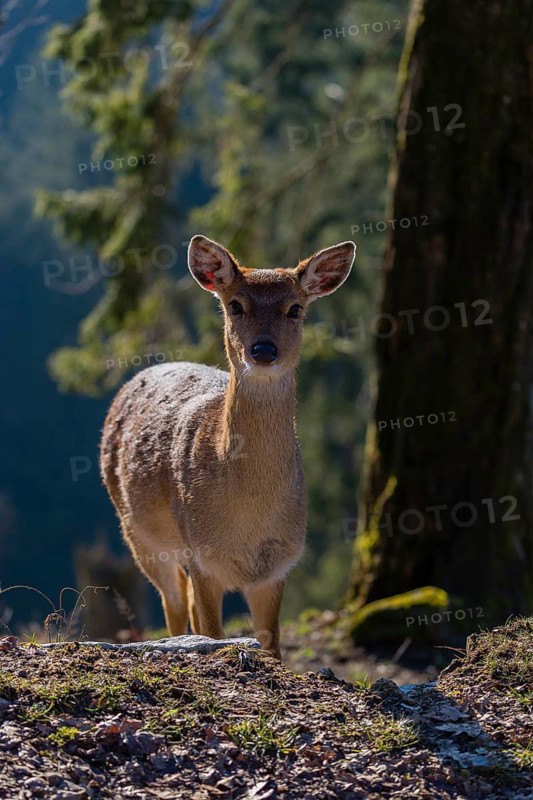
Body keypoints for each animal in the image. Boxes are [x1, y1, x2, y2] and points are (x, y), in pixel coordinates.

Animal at [100, 235, 356, 659]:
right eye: (235, 305)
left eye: (295, 308)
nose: (263, 350)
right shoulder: (202, 555)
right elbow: (212, 633)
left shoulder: (278, 565)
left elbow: (272, 645)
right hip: (137, 532)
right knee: (174, 601)